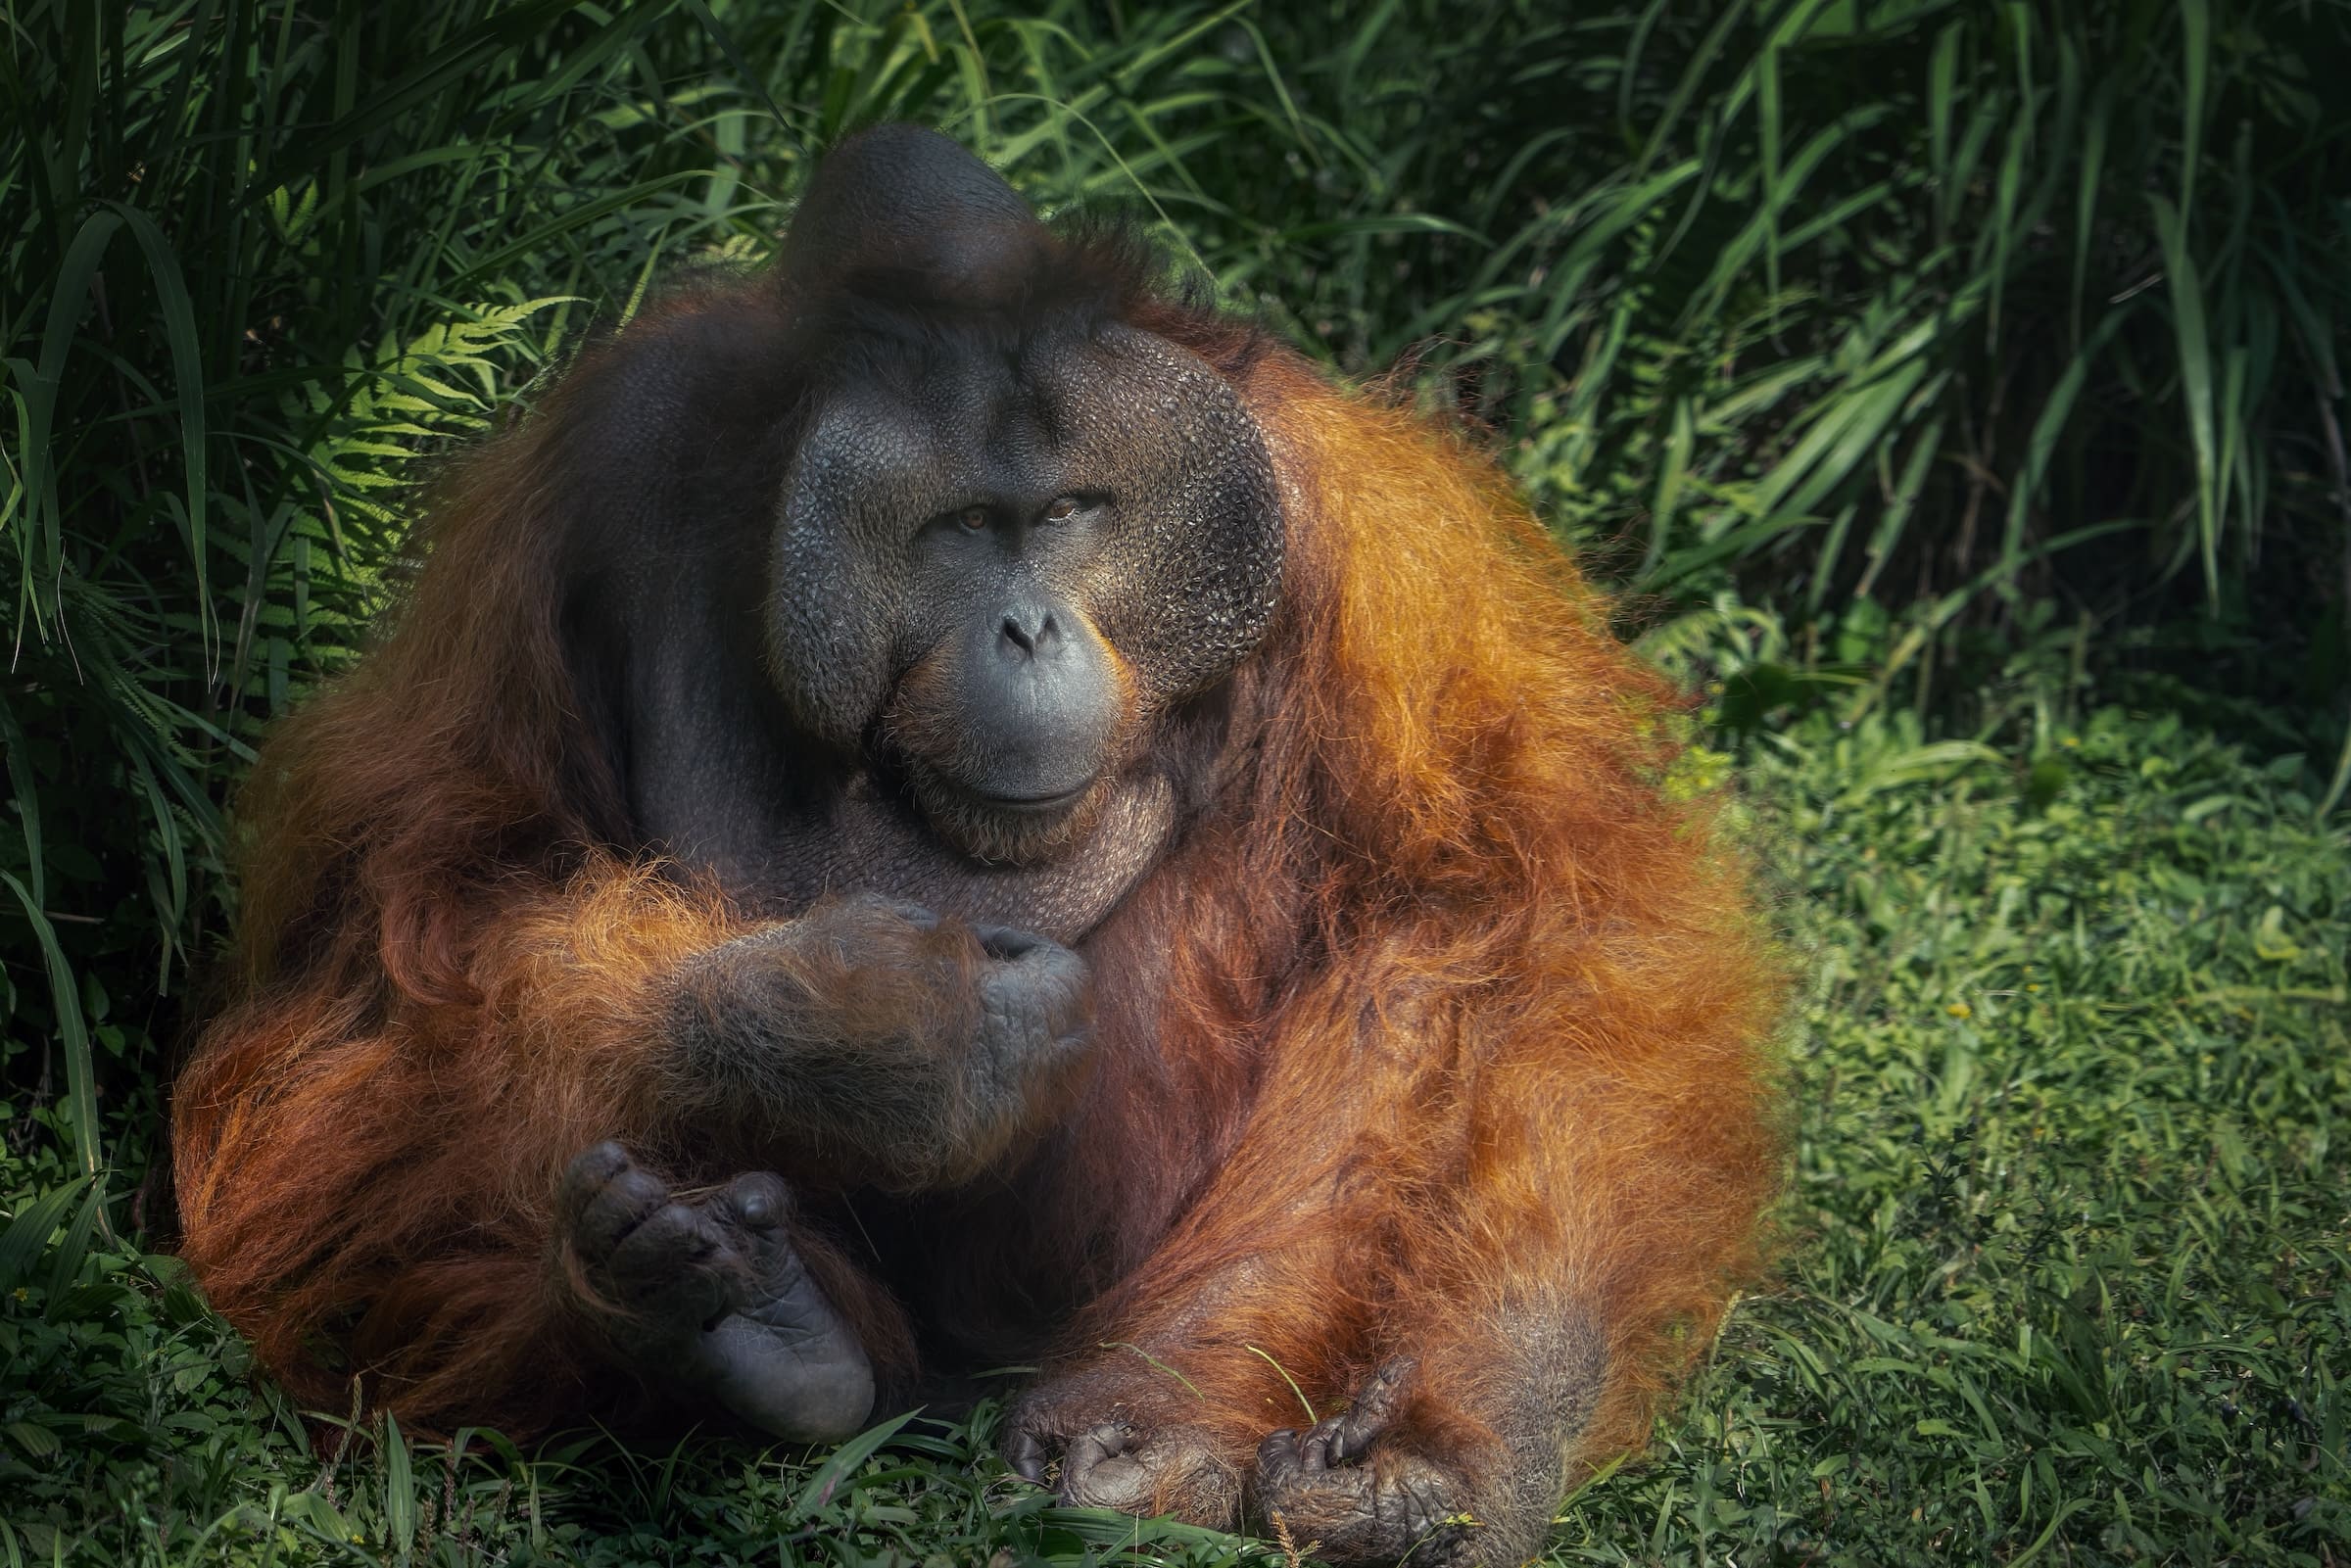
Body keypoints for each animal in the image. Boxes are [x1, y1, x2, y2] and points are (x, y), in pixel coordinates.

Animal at [173, 124, 1781, 1566]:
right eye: (955, 530)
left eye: (1066, 513)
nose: (1029, 625)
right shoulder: (587, 468)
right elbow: (410, 905)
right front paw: (877, 1033)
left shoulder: (1349, 507)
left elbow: (1522, 916)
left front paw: (1452, 1466)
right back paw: (742, 1318)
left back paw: (1147, 1429)